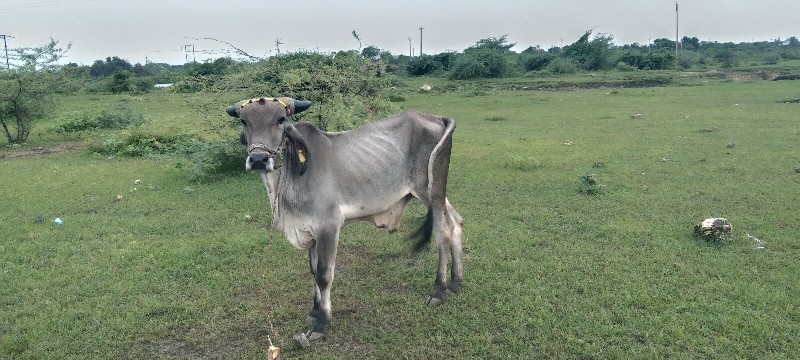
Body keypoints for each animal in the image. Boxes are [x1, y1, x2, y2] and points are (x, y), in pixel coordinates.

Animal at [223, 97, 462, 344]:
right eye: (243, 121)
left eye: (280, 119)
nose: (258, 159)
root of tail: (438, 118)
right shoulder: (310, 230)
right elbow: (313, 270)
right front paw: (314, 311)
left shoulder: (328, 225)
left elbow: (323, 275)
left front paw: (321, 323)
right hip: (436, 196)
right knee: (456, 222)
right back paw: (455, 282)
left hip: (432, 191)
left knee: (443, 233)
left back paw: (438, 290)